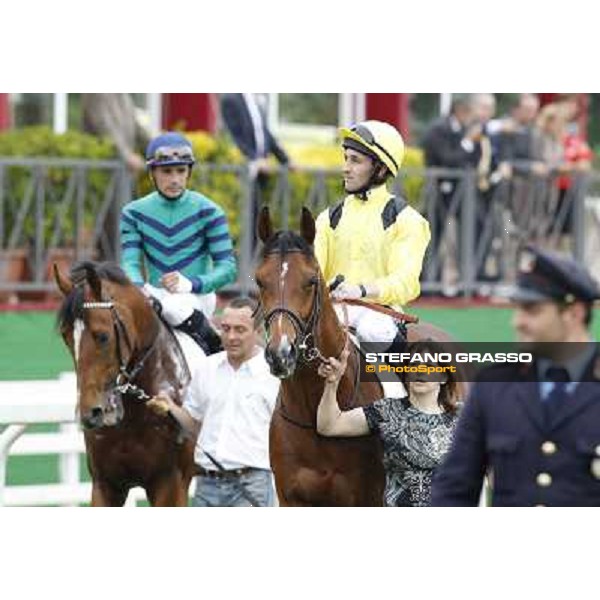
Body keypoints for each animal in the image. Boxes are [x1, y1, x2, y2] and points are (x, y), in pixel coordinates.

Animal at [255, 206, 458, 506]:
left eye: (310, 281)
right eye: (259, 280)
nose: (281, 353)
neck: (314, 414)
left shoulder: (365, 498)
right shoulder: (290, 498)